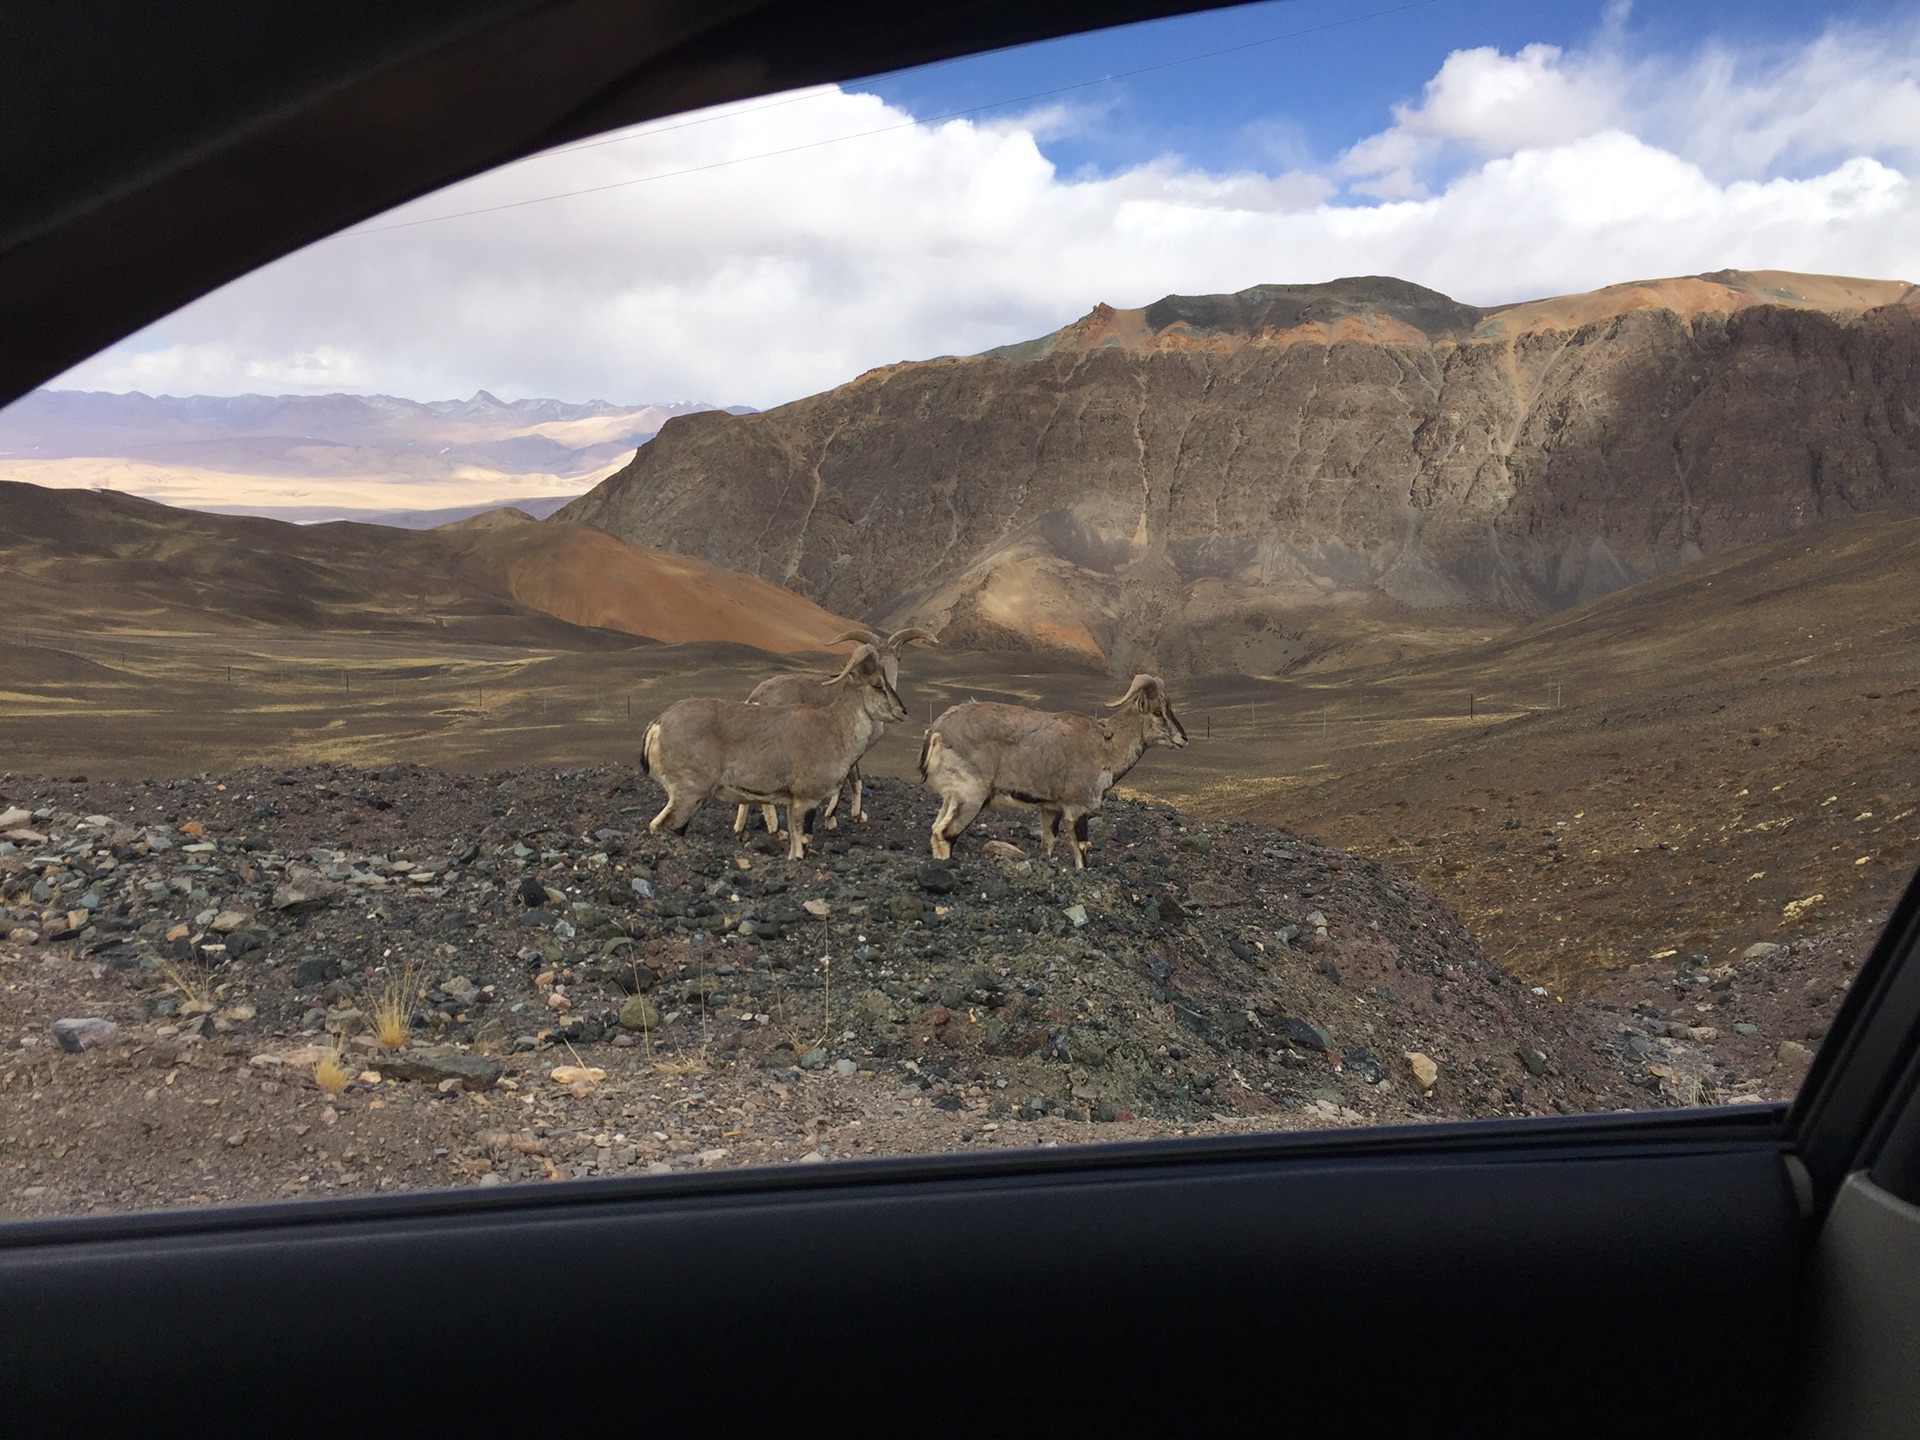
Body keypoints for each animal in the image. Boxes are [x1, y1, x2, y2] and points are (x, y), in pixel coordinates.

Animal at [645, 641, 906, 856]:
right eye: (878, 685)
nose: (902, 711)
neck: (834, 728)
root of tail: (657, 726)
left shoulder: (793, 805)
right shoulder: (806, 800)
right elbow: (801, 845)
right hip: (687, 795)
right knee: (660, 825)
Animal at [729, 625, 933, 840]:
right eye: (878, 683)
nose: (902, 711)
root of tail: (756, 698)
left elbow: (854, 779)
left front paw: (857, 815)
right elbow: (847, 780)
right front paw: (834, 818)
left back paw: (741, 828)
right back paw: (777, 829)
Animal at [917, 675, 1182, 867]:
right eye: (1158, 712)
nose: (1183, 738)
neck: (1107, 744)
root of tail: (936, 732)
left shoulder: (1051, 808)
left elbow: (1049, 841)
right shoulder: (1077, 807)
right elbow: (1081, 848)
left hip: (953, 797)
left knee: (936, 829)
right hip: (971, 796)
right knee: (945, 833)